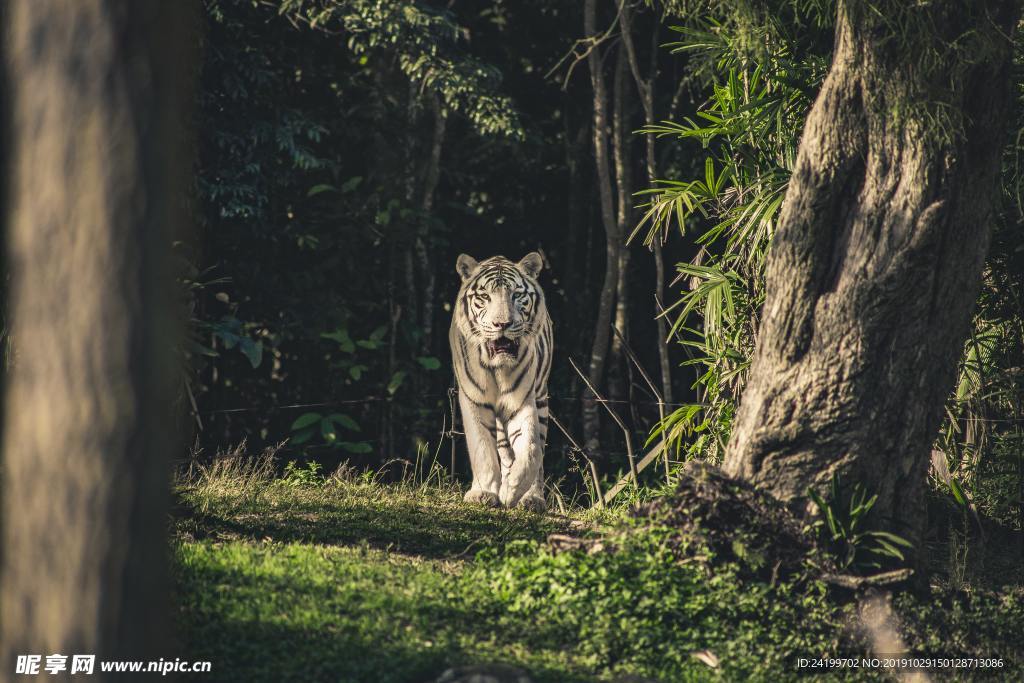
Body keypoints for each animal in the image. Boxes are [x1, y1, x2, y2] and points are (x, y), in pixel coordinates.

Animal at [449, 252, 552, 511]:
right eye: (484, 297)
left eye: (516, 295)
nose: (502, 324)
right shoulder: (473, 400)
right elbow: (482, 448)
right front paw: (484, 492)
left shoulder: (522, 401)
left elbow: (531, 448)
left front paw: (513, 489)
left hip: (541, 398)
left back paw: (532, 498)